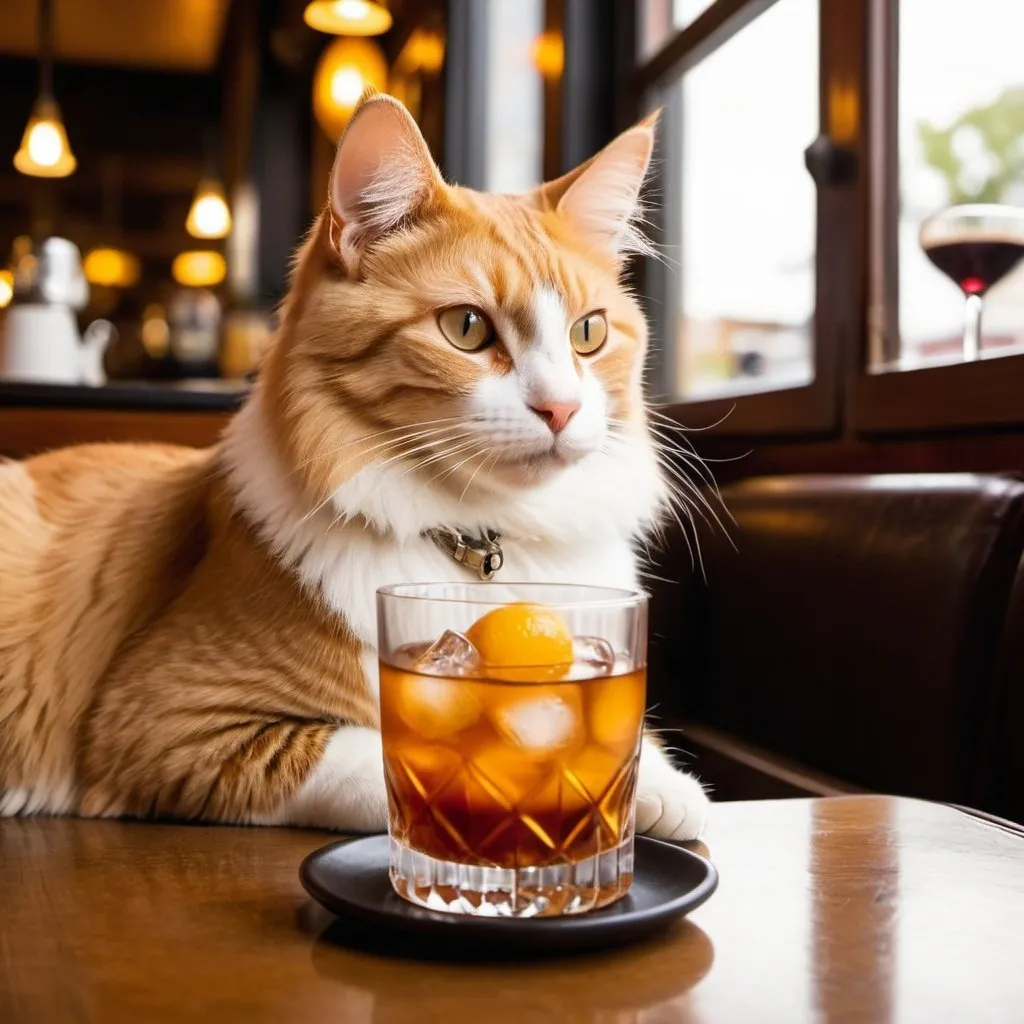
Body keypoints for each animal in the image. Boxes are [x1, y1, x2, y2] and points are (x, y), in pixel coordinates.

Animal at [0, 92, 704, 835]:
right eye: (466, 329)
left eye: (588, 334)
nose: (562, 409)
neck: (484, 544)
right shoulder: (165, 717)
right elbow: (397, 753)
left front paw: (656, 786)